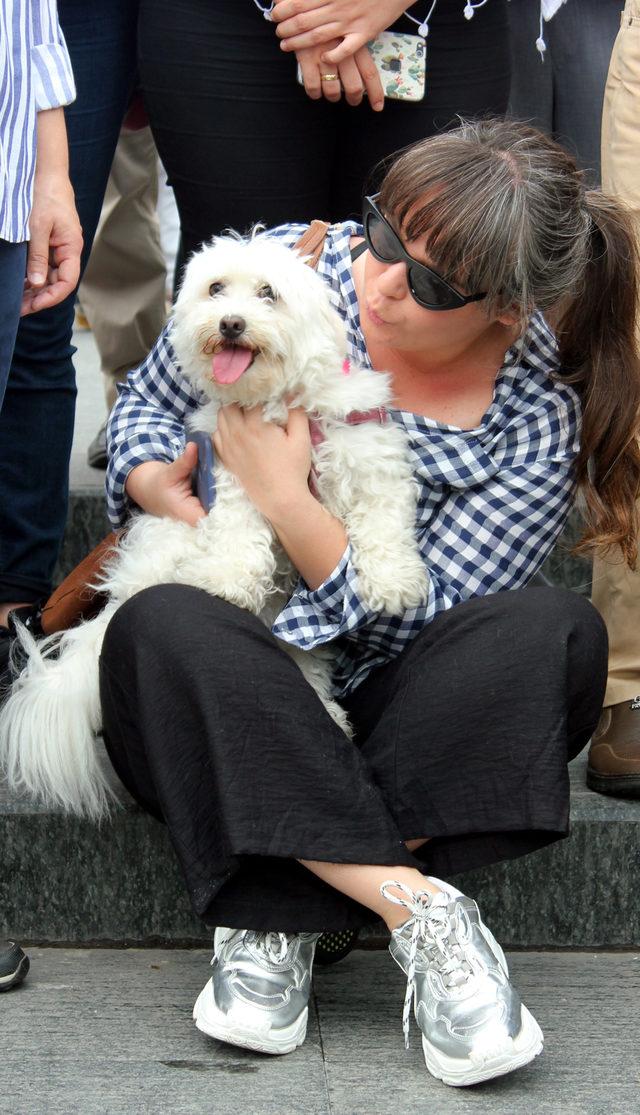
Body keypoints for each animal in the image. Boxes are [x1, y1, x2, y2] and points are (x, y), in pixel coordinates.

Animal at [1, 235, 432, 820]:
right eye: (216, 288)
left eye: (269, 293)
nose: (230, 323)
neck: (277, 401)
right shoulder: (229, 469)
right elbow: (238, 528)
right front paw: (227, 578)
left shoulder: (368, 452)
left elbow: (383, 520)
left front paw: (393, 581)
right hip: (171, 547)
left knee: (301, 661)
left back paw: (326, 712)